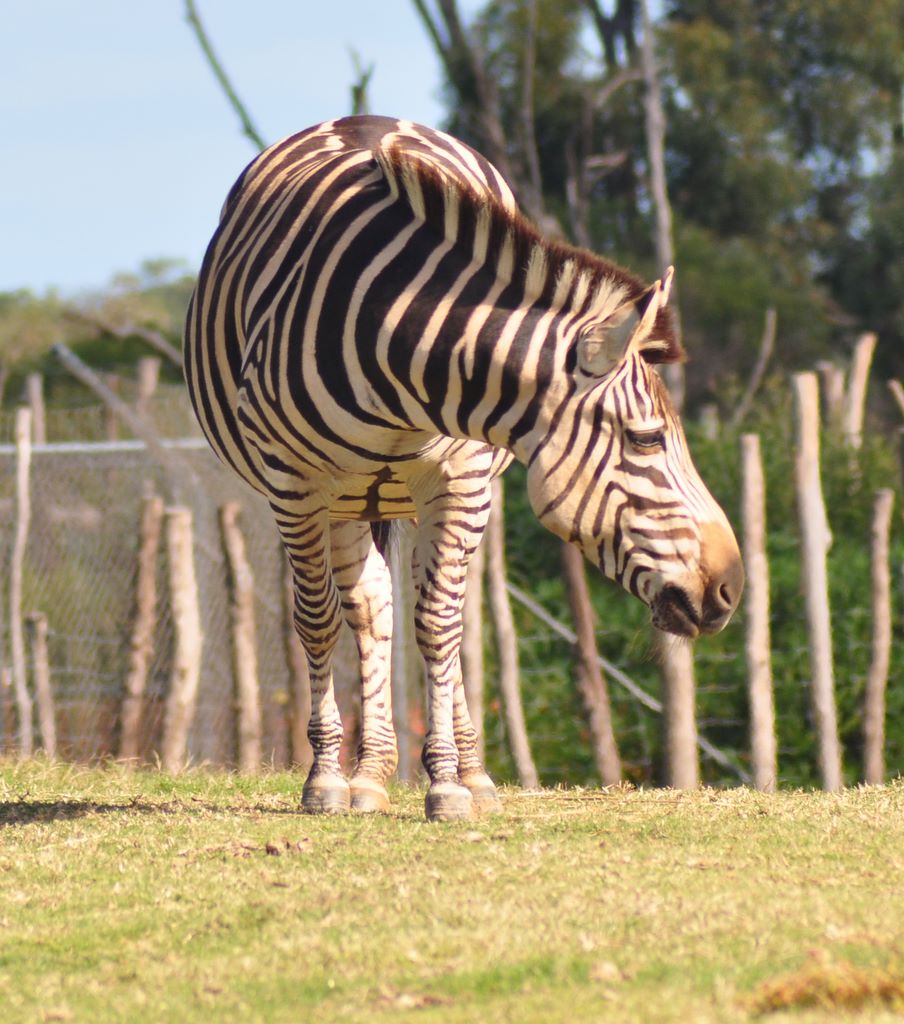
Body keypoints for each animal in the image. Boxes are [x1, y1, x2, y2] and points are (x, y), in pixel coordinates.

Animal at [184, 115, 743, 821]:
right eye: (646, 440)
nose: (731, 589)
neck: (394, 342)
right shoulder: (296, 483)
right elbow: (318, 619)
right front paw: (326, 778)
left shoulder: (462, 478)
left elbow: (439, 622)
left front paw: (449, 782)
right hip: (349, 495)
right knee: (371, 606)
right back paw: (369, 772)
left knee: (443, 613)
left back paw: (467, 772)